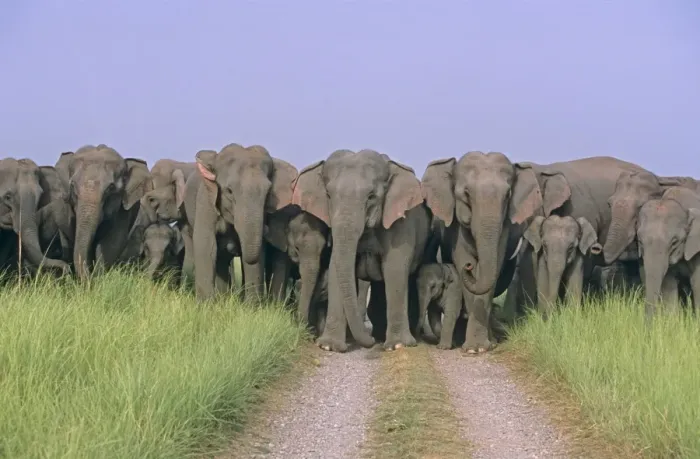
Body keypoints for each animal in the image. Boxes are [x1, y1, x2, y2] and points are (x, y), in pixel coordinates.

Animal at [55, 145, 152, 279]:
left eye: (110, 188)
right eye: (73, 185)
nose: (88, 278)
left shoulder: (123, 209)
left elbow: (111, 244)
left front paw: (98, 278)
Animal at [187, 144, 298, 300]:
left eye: (268, 192)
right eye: (229, 191)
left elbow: (258, 254)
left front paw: (252, 305)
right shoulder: (206, 201)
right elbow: (206, 244)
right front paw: (206, 304)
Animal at [292, 149, 430, 352]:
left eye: (371, 196)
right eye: (329, 195)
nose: (369, 342)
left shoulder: (399, 222)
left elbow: (395, 269)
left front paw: (397, 346)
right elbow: (335, 268)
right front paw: (328, 346)